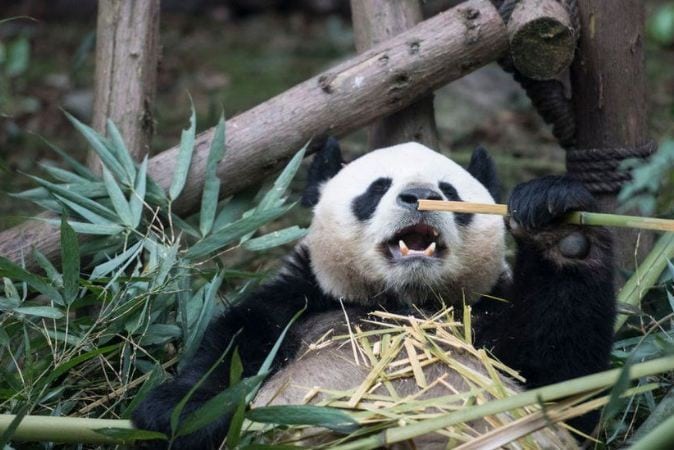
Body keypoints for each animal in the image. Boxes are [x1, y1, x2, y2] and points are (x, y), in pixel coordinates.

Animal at [132, 139, 616, 449]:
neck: (402, 303)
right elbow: (226, 359)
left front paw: (560, 227)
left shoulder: (483, 320)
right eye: (378, 187)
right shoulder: (297, 306)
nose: (419, 196)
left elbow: (564, 384)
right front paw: (179, 409)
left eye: (449, 191)